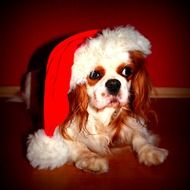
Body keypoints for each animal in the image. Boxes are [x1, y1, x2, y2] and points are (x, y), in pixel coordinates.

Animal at [26, 26, 168, 173]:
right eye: (94, 74)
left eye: (126, 71)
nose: (113, 83)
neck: (101, 114)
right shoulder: (62, 127)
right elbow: (76, 144)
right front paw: (90, 158)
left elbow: (139, 134)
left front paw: (150, 151)